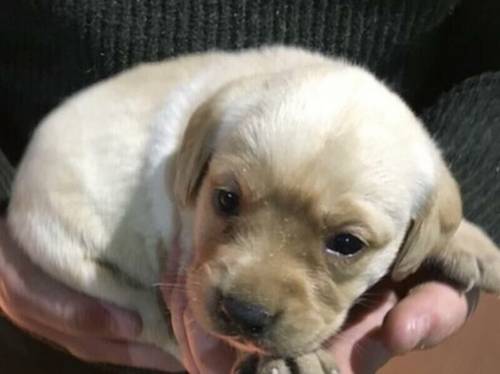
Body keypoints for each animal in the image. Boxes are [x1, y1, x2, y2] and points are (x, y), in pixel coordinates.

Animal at [6, 47, 500, 374]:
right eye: (226, 199)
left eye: (346, 244)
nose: (244, 314)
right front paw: (294, 358)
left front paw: (471, 244)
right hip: (76, 263)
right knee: (152, 323)